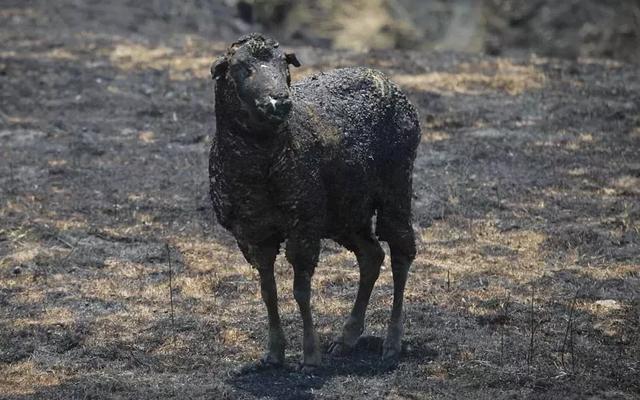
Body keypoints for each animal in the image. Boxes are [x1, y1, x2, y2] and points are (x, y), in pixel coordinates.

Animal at [208, 32, 422, 370]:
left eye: (284, 66)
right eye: (242, 67)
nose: (279, 101)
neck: (262, 164)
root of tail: (383, 77)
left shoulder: (304, 224)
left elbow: (301, 291)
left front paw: (310, 355)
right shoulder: (252, 234)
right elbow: (268, 291)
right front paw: (274, 353)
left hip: (396, 185)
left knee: (401, 253)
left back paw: (392, 343)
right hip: (346, 210)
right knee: (371, 256)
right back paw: (347, 337)